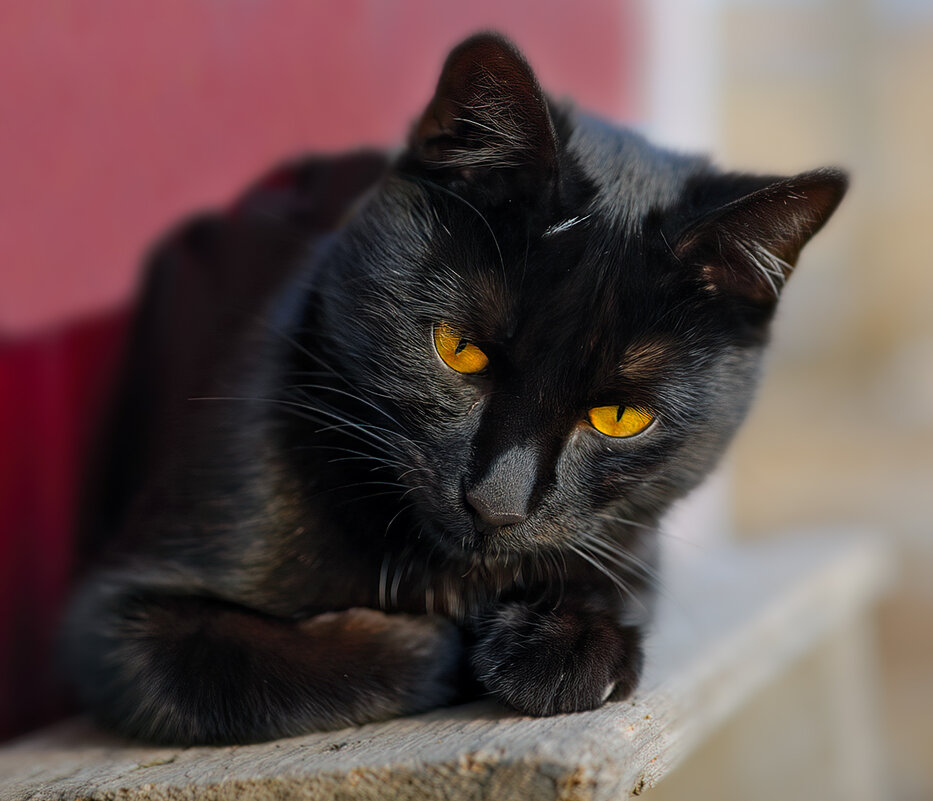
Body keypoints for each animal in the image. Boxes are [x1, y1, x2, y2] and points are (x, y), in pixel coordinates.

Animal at [62, 31, 848, 744]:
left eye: (621, 416)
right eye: (459, 350)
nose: (496, 503)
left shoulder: (633, 543)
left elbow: (615, 585)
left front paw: (560, 647)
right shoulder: (115, 623)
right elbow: (221, 672)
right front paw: (440, 645)